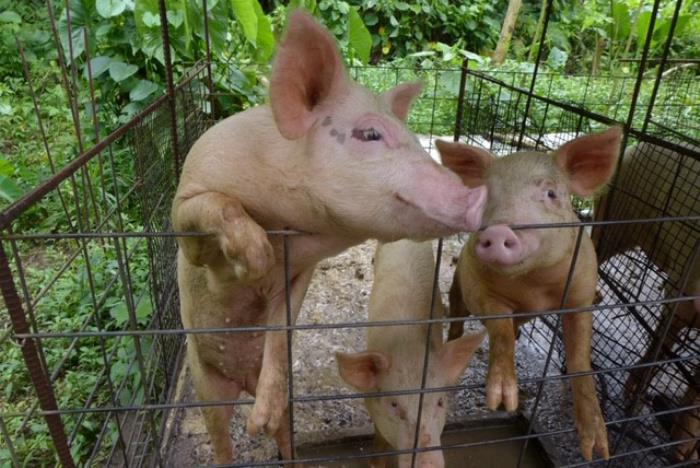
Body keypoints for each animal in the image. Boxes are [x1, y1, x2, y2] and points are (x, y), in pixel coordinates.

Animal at [436, 127, 623, 462]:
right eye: (487, 195)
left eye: (551, 193)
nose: (498, 231)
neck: (533, 288)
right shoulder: (481, 291)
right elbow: (500, 331)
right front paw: (502, 402)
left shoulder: (580, 295)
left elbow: (580, 358)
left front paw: (597, 451)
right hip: (458, 288)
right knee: (457, 323)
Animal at [591, 141, 699, 461]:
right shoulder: (682, 289)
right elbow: (659, 346)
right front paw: (632, 399)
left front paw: (685, 452)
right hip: (618, 212)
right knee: (595, 245)